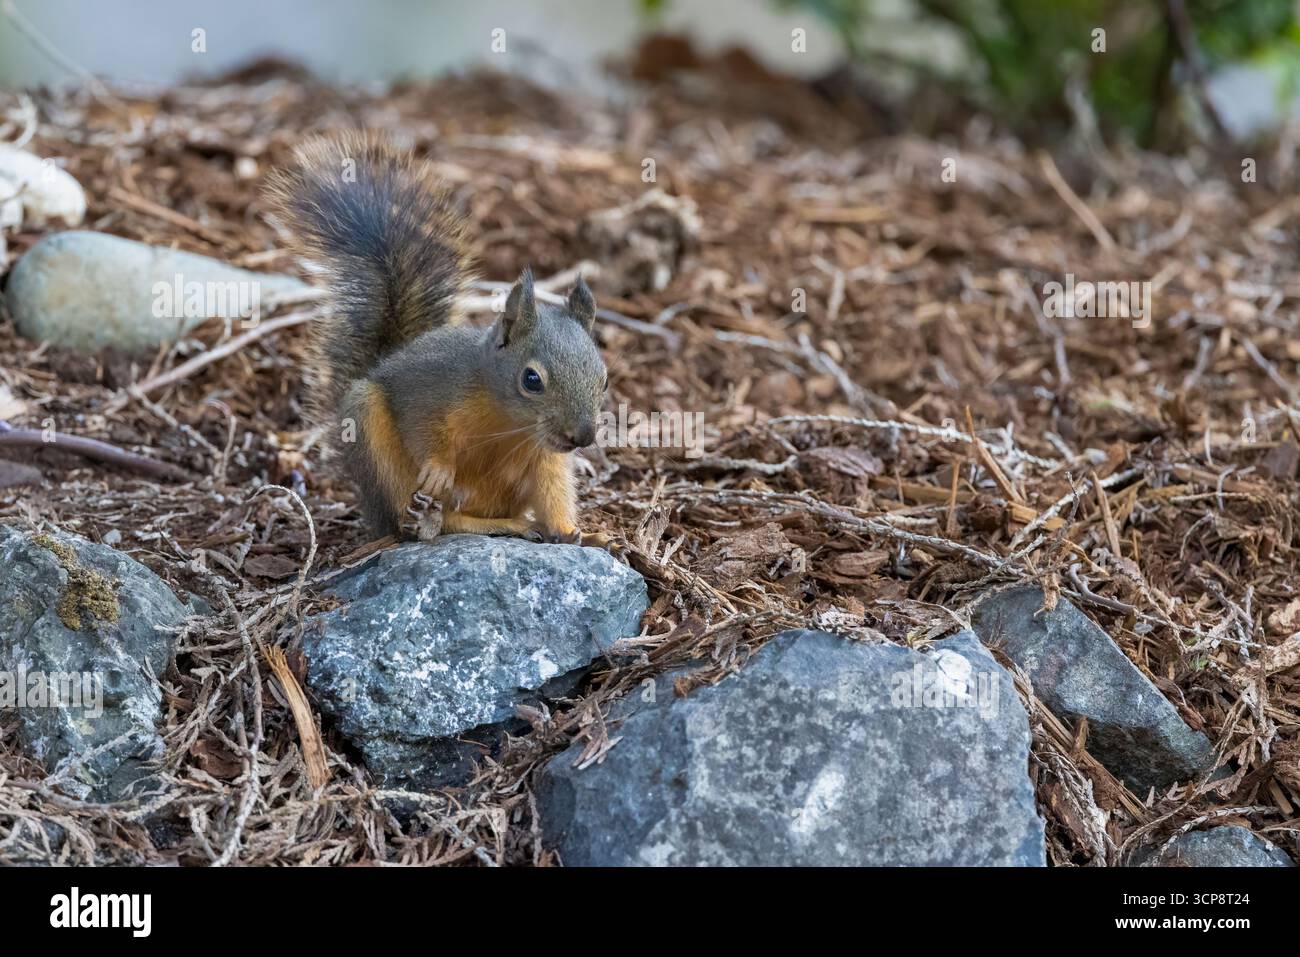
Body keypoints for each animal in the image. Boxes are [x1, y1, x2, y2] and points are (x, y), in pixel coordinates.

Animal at [265, 133, 608, 545]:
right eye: (531, 380)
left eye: (604, 380)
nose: (583, 436)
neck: (507, 420)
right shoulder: (430, 388)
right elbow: (423, 428)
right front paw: (439, 468)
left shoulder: (545, 458)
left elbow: (553, 493)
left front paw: (576, 533)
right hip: (371, 432)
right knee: (417, 522)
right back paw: (429, 520)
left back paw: (509, 524)